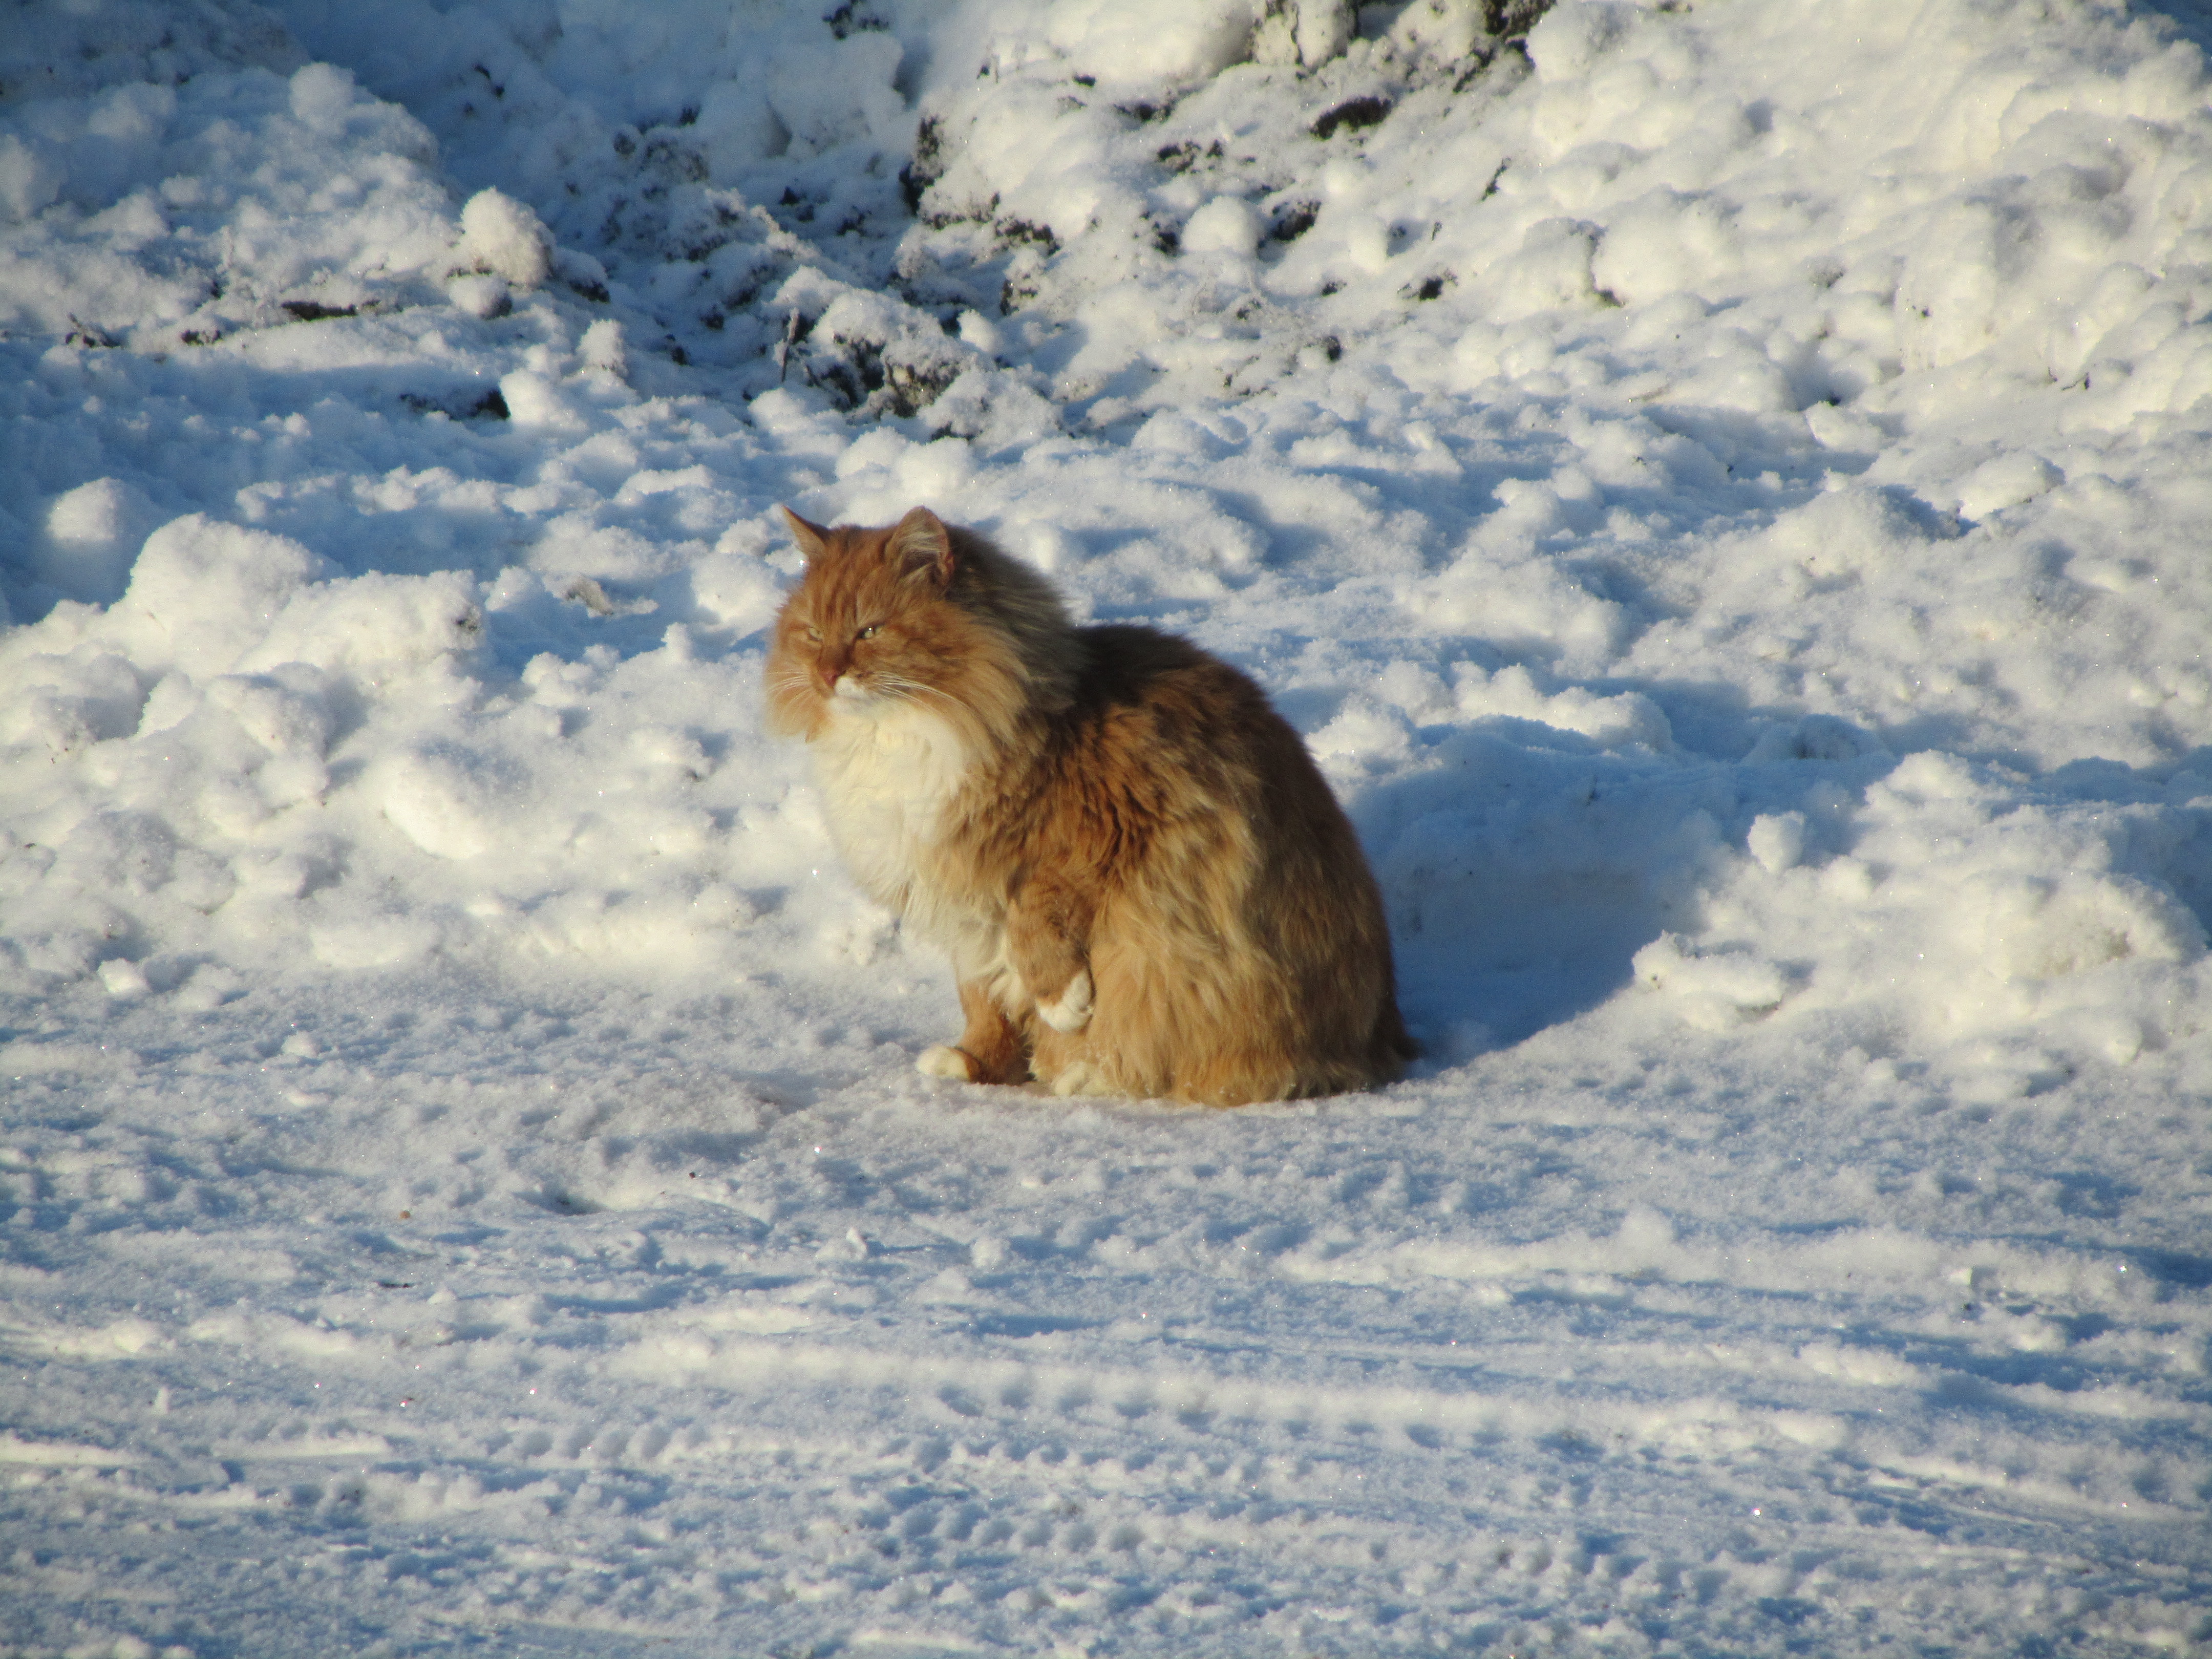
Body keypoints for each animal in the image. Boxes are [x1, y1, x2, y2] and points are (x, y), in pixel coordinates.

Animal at [770, 500, 1407, 1110]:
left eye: (870, 631)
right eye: (812, 633)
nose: (826, 674)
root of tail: (1383, 1041)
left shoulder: (1098, 838)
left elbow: (1033, 929)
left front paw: (1062, 1004)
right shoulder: (963, 915)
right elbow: (984, 1001)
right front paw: (973, 1063)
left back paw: (1083, 1073)